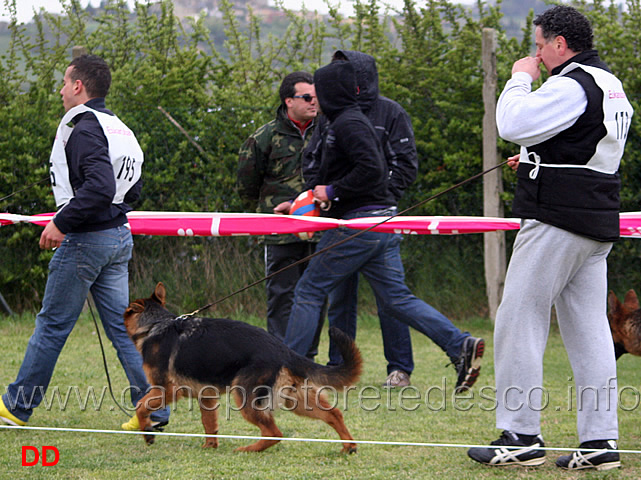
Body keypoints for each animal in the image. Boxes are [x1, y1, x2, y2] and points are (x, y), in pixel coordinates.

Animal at [124, 282, 360, 454]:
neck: (155, 325)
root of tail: (283, 349)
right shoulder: (206, 396)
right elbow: (209, 424)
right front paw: (209, 447)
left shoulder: (166, 389)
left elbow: (141, 406)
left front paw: (147, 432)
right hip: (297, 401)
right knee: (334, 414)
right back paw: (348, 446)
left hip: (245, 398)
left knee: (274, 432)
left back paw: (248, 449)